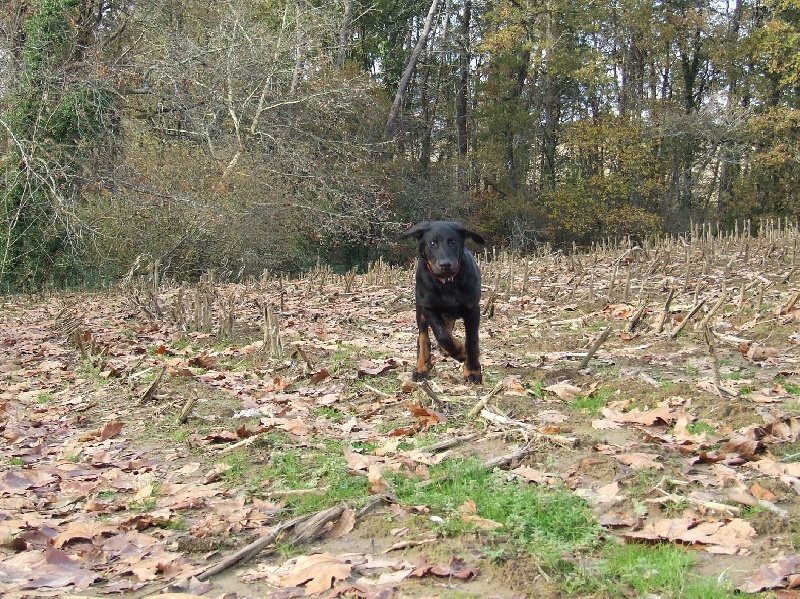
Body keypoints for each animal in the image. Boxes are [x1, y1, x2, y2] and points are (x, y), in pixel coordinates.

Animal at [400, 220, 488, 384]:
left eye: (453, 241)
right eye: (432, 242)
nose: (445, 264)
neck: (446, 283)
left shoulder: (473, 309)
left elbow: (471, 340)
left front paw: (472, 370)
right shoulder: (428, 308)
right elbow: (441, 335)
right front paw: (460, 352)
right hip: (420, 310)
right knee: (423, 338)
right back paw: (422, 367)